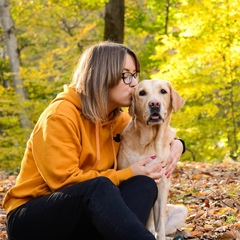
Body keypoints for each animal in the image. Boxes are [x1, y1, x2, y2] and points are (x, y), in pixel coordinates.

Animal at [117, 79, 187, 239]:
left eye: (163, 91)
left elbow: (159, 224)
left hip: (181, 210)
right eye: (142, 93)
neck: (150, 143)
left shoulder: (162, 185)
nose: (154, 104)